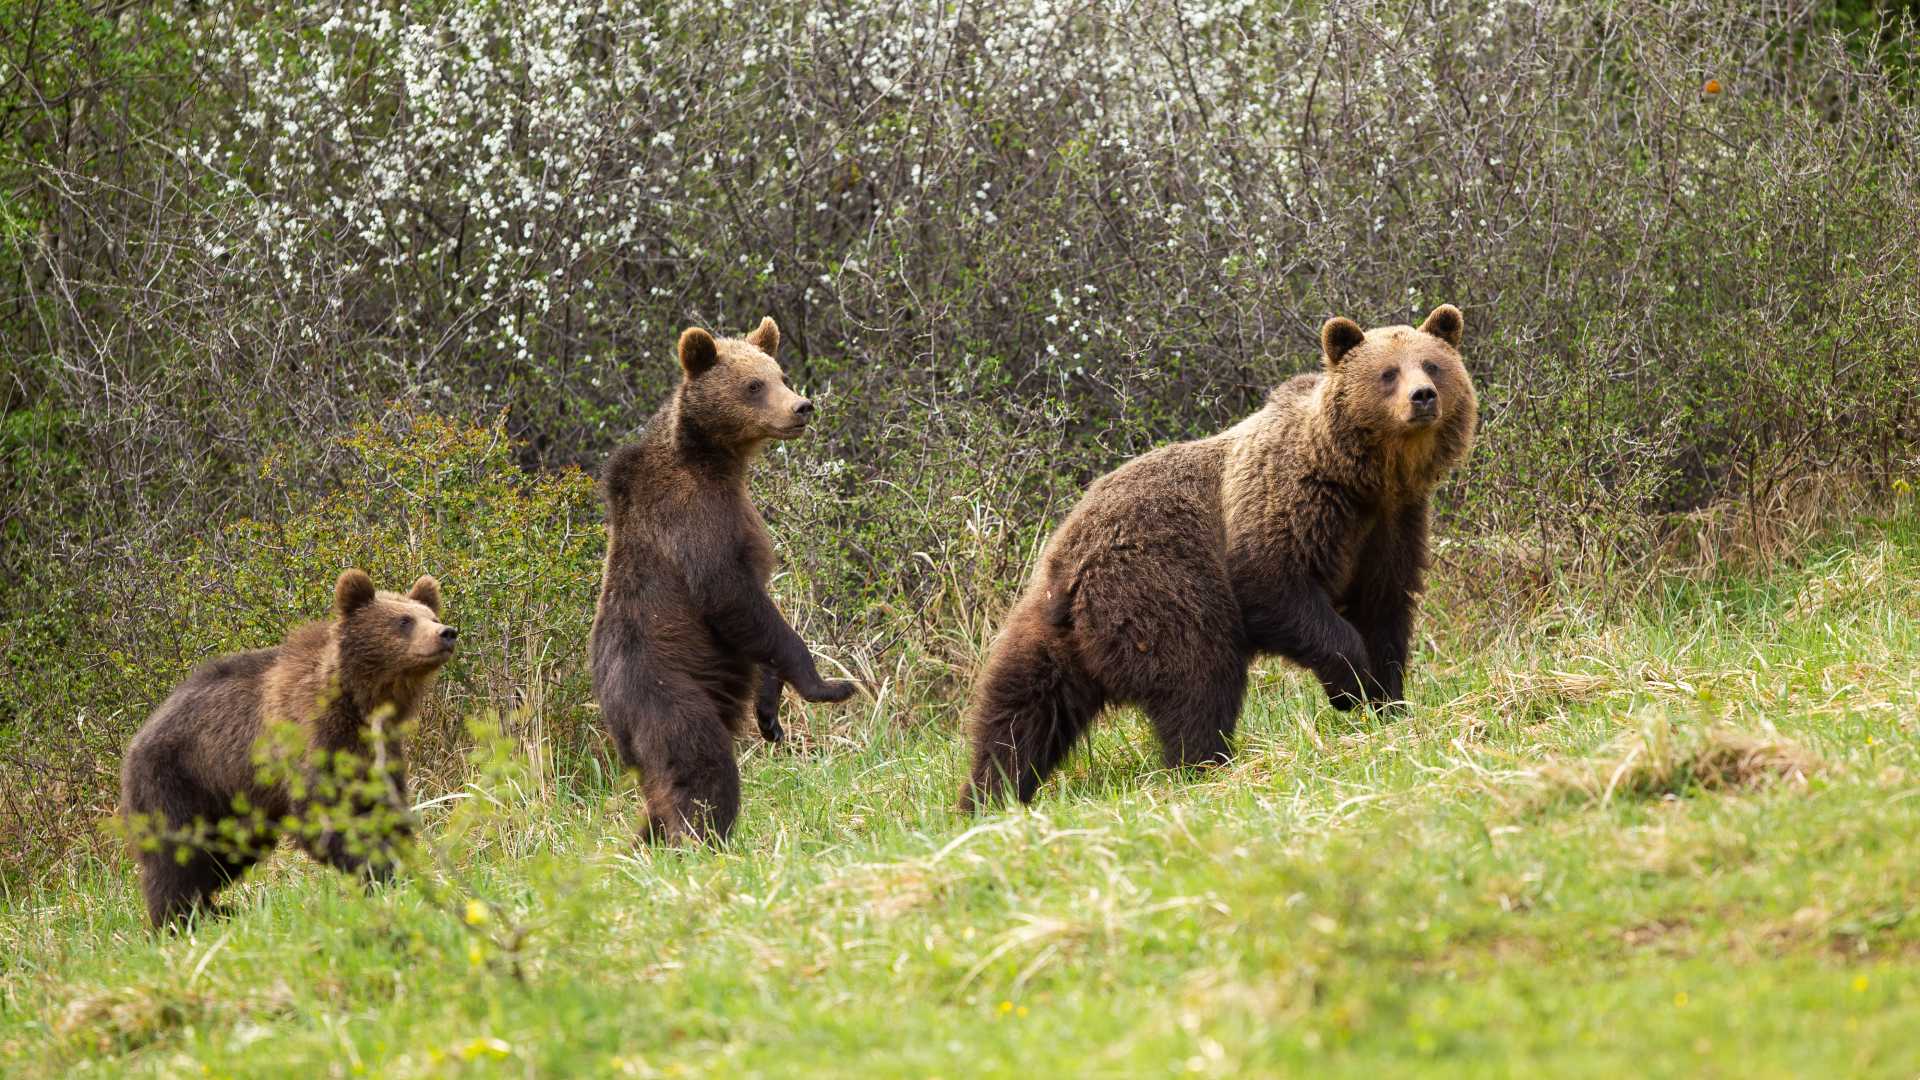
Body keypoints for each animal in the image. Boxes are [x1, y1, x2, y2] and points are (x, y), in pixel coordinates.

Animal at [119, 570, 456, 928]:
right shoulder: (310, 740)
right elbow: (325, 817)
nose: (447, 633)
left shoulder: (373, 753)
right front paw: (379, 871)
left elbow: (382, 808)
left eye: (432, 617)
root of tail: (137, 738)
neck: (358, 704)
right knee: (175, 854)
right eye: (403, 621)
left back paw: (214, 910)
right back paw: (177, 919)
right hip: (177, 779)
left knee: (225, 851)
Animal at [590, 316, 856, 844]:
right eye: (753, 385)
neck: (715, 459)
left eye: (780, 374)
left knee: (661, 796)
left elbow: (758, 620)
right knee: (700, 766)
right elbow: (732, 596)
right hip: (666, 693)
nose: (802, 406)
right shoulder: (693, 517)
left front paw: (770, 711)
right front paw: (828, 683)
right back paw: (702, 839)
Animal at [958, 305, 1476, 810]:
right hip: (1159, 590)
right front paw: (1351, 686)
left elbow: (1385, 610)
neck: (1363, 479)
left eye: (1432, 364)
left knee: (1019, 710)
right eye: (1388, 372)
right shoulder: (1285, 504)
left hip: (1043, 626)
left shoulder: (1392, 528)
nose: (1423, 396)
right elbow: (1275, 588)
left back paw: (988, 794)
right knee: (1199, 679)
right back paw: (1207, 765)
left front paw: (1388, 702)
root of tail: (1071, 568)